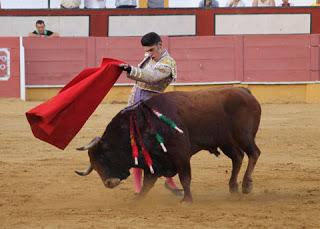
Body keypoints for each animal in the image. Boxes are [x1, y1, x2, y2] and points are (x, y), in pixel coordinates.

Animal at [76, 86, 262, 202]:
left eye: (102, 158)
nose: (108, 183)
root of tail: (245, 91)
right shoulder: (154, 161)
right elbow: (147, 184)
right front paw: (137, 200)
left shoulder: (181, 155)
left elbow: (185, 178)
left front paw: (187, 200)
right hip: (226, 142)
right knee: (237, 157)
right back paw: (233, 187)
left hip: (243, 136)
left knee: (254, 153)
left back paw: (246, 185)